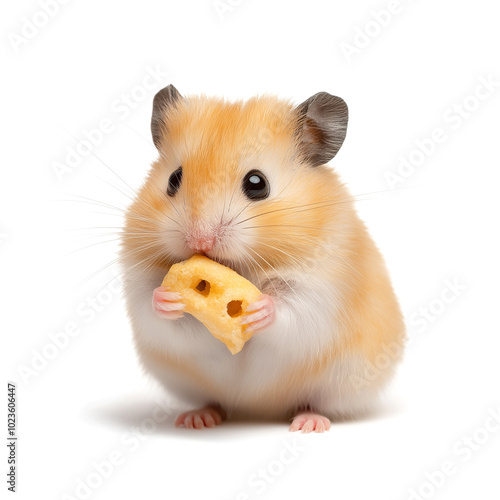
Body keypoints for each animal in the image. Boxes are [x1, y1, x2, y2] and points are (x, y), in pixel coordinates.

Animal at [120, 84, 406, 432]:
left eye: (257, 183)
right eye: (174, 179)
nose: (199, 240)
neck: (242, 267)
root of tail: (259, 411)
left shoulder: (324, 290)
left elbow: (292, 312)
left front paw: (259, 309)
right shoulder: (139, 282)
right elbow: (155, 311)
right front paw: (166, 298)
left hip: (345, 383)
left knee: (316, 403)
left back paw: (309, 423)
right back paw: (197, 418)